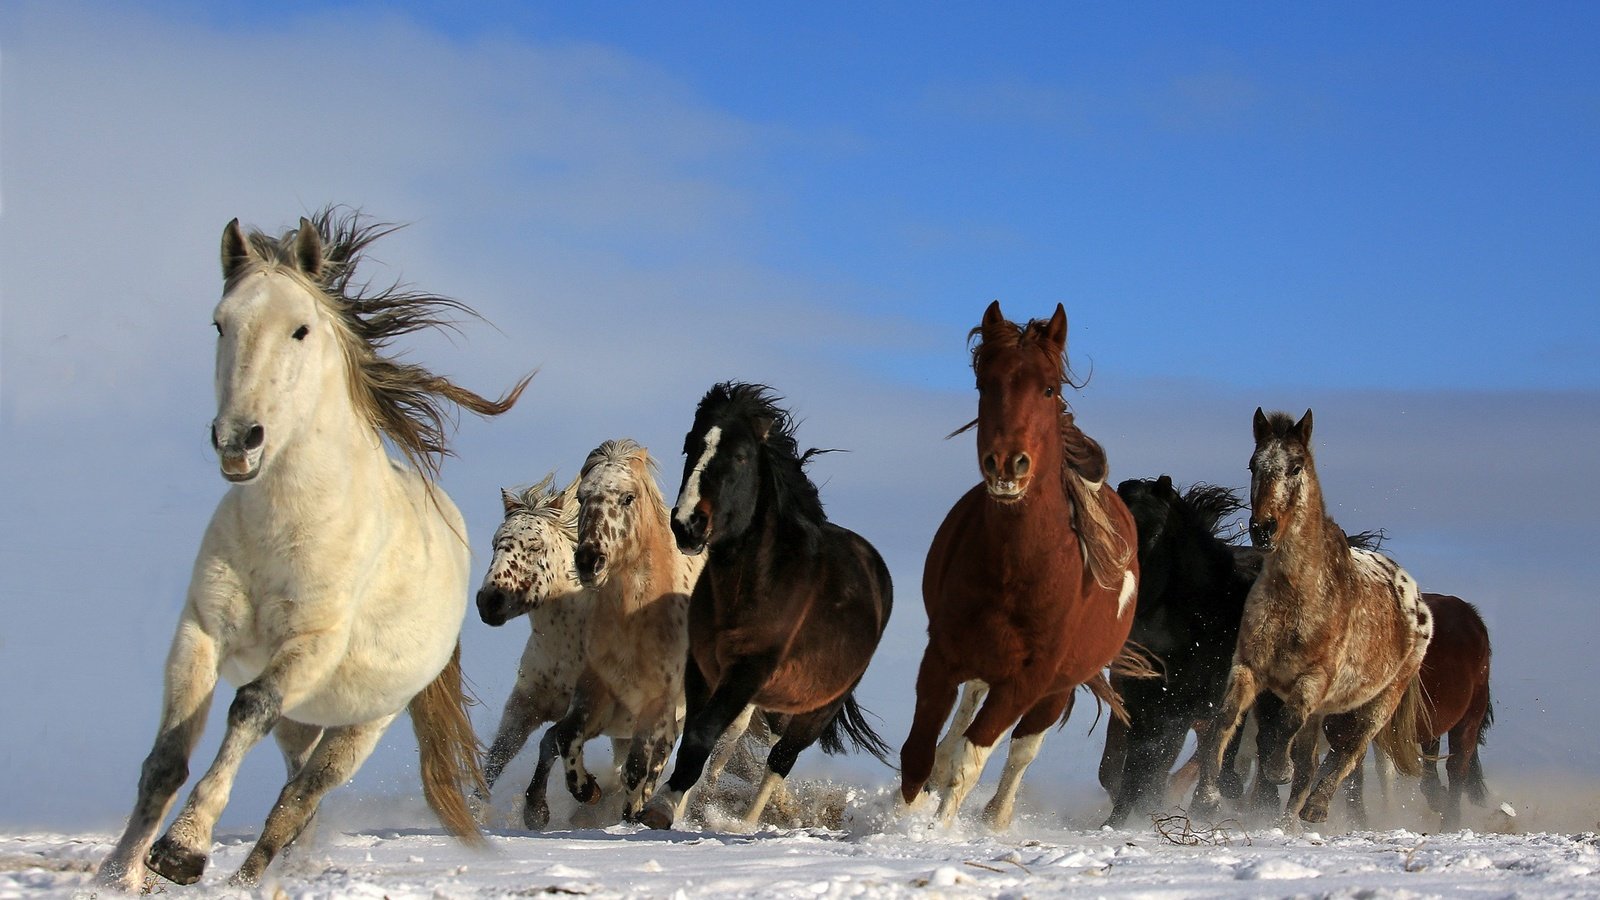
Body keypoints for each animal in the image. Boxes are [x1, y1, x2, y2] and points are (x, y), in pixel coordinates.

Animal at [96, 209, 528, 890]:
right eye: (220, 323)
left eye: (300, 329)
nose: (238, 441)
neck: (285, 531)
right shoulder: (200, 632)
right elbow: (166, 756)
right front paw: (116, 873)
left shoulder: (311, 646)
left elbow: (247, 708)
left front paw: (182, 851)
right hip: (306, 719)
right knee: (296, 788)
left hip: (363, 724)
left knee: (299, 797)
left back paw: (245, 881)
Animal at [896, 301, 1145, 826]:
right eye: (984, 385)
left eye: (1049, 388)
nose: (1008, 464)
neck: (1017, 570)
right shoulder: (942, 654)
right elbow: (919, 751)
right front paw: (896, 822)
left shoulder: (1029, 680)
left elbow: (972, 761)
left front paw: (936, 830)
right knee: (960, 718)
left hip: (1056, 689)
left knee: (1020, 752)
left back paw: (997, 818)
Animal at [1190, 409, 1440, 826]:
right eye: (1253, 464)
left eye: (1296, 466)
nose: (1263, 529)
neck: (1296, 597)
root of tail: (1415, 597)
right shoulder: (1248, 667)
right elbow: (1225, 720)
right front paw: (1205, 799)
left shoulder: (1313, 681)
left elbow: (1285, 729)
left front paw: (1278, 769)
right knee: (1313, 762)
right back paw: (1288, 820)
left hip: (1379, 701)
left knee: (1350, 751)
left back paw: (1316, 806)